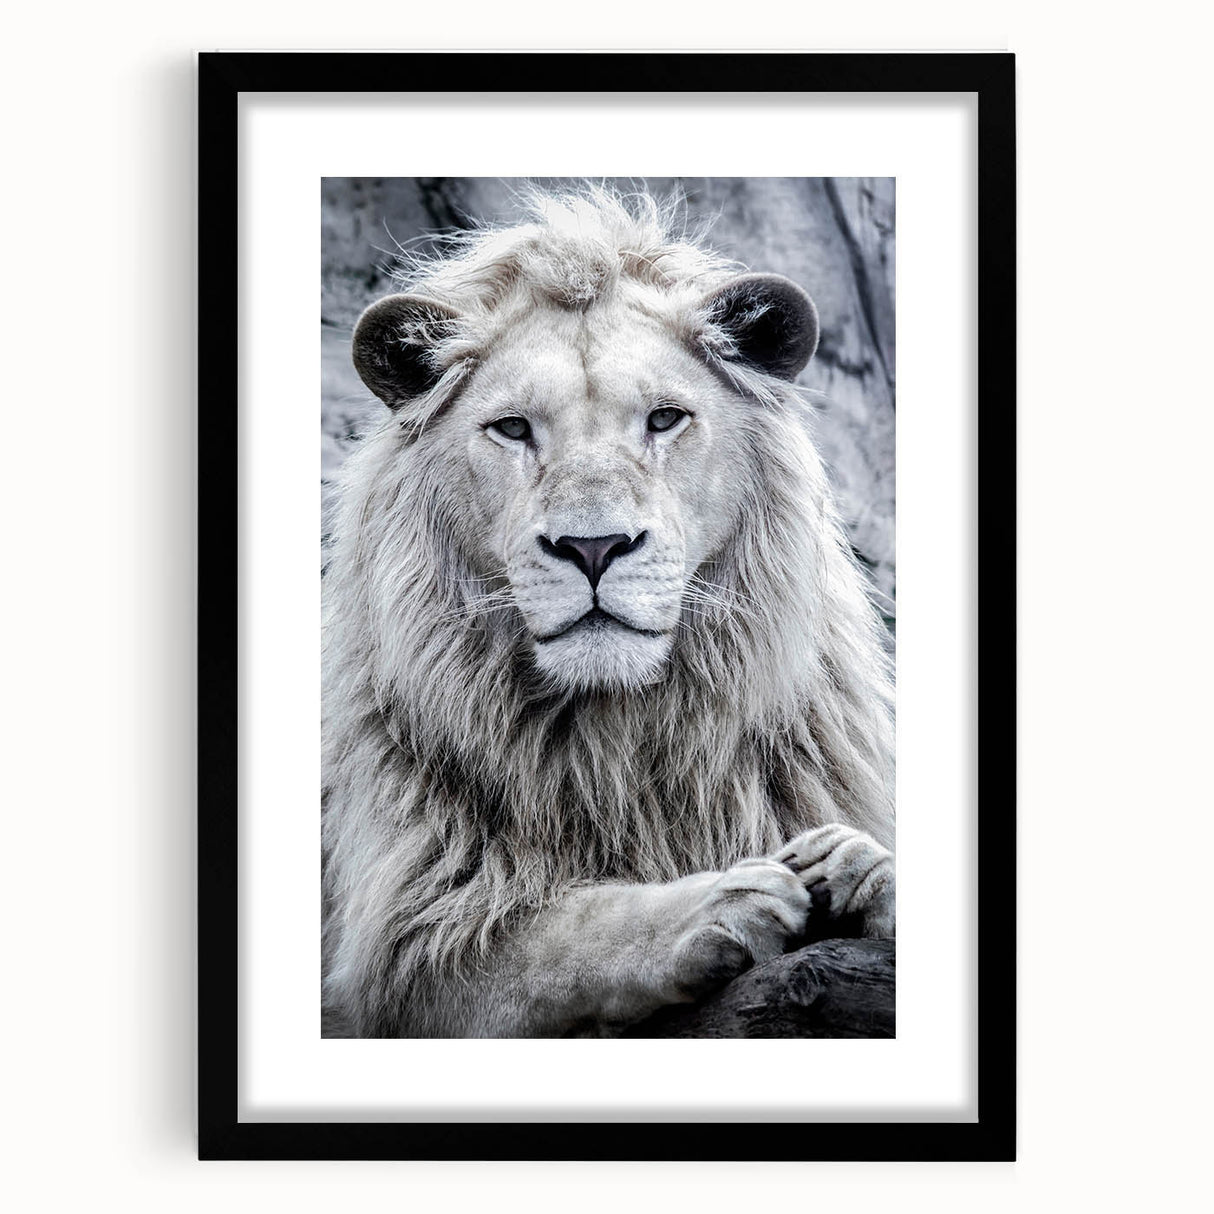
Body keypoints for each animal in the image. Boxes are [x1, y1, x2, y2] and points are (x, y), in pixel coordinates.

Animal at [322, 187, 895, 1038]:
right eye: (513, 428)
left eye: (664, 419)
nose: (594, 549)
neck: (618, 742)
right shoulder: (411, 948)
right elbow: (562, 932)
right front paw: (720, 900)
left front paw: (860, 866)